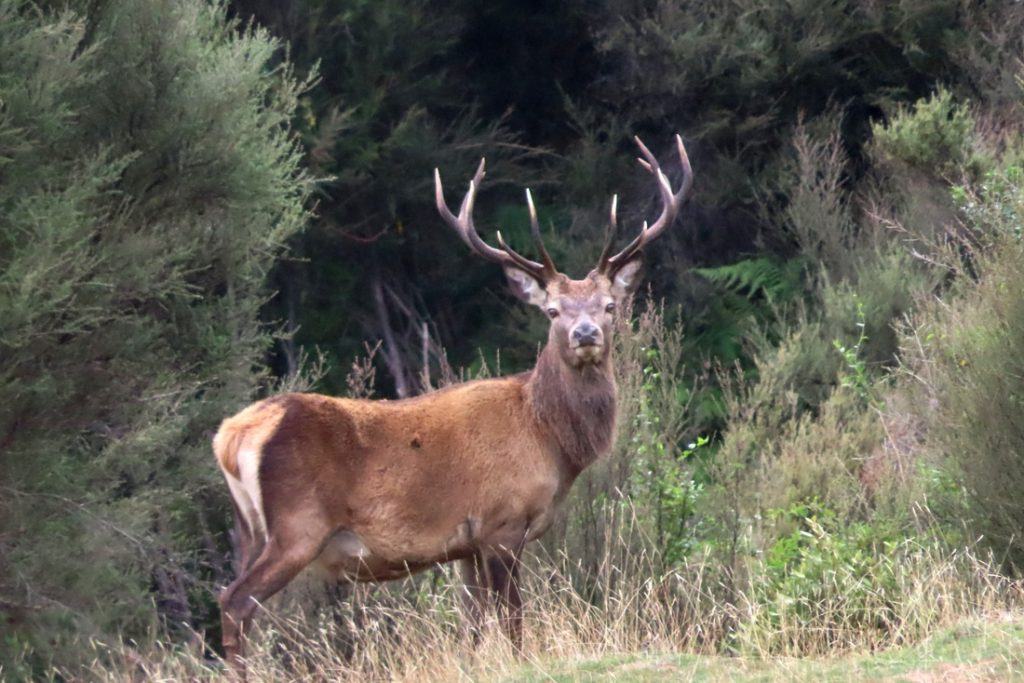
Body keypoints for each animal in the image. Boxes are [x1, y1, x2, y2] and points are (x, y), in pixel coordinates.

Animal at [216, 133, 696, 671]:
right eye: (553, 311)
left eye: (609, 306)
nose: (586, 333)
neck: (549, 440)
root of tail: (230, 435)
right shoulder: (502, 523)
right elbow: (513, 621)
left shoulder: (465, 544)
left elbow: (473, 625)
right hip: (297, 525)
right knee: (235, 602)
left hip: (249, 529)